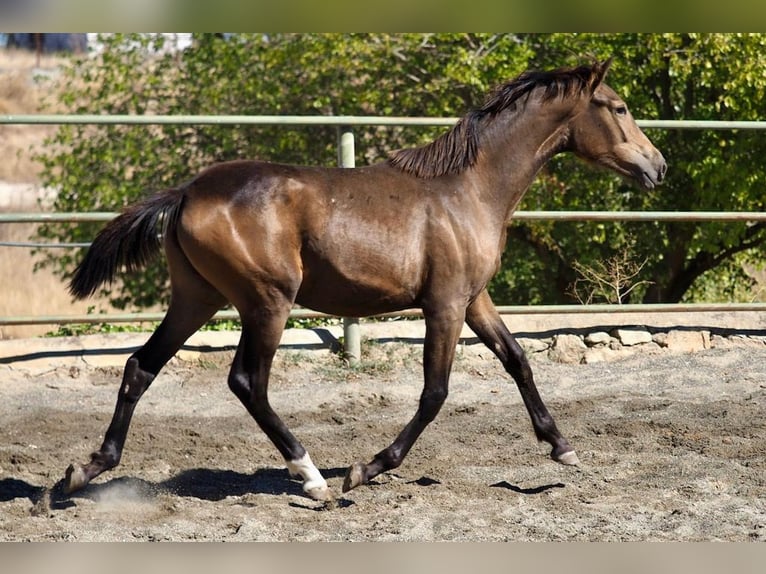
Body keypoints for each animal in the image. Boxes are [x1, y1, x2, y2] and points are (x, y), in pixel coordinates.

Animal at [63, 57, 668, 500]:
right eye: (618, 107)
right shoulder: (444, 305)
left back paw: (81, 473)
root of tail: (187, 191)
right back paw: (311, 478)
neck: (468, 189)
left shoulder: (474, 300)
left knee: (141, 367)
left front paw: (562, 447)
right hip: (267, 302)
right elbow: (435, 392)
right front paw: (365, 469)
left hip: (197, 298)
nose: (657, 166)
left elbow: (517, 359)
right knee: (246, 382)